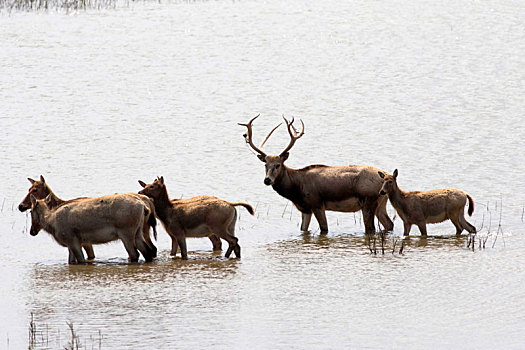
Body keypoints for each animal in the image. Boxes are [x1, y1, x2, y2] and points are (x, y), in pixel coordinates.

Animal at [18, 176, 158, 258]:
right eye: (29, 188)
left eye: (35, 189)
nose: (21, 206)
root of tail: (145, 205)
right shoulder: (81, 243)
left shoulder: (77, 241)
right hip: (139, 232)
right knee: (148, 251)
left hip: (126, 233)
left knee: (137, 253)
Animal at [238, 114, 392, 235]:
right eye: (265, 165)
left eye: (278, 165)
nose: (267, 180)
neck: (297, 189)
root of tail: (385, 175)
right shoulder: (305, 209)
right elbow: (303, 229)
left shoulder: (316, 203)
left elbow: (324, 229)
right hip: (381, 203)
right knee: (389, 224)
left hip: (368, 200)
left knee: (371, 228)